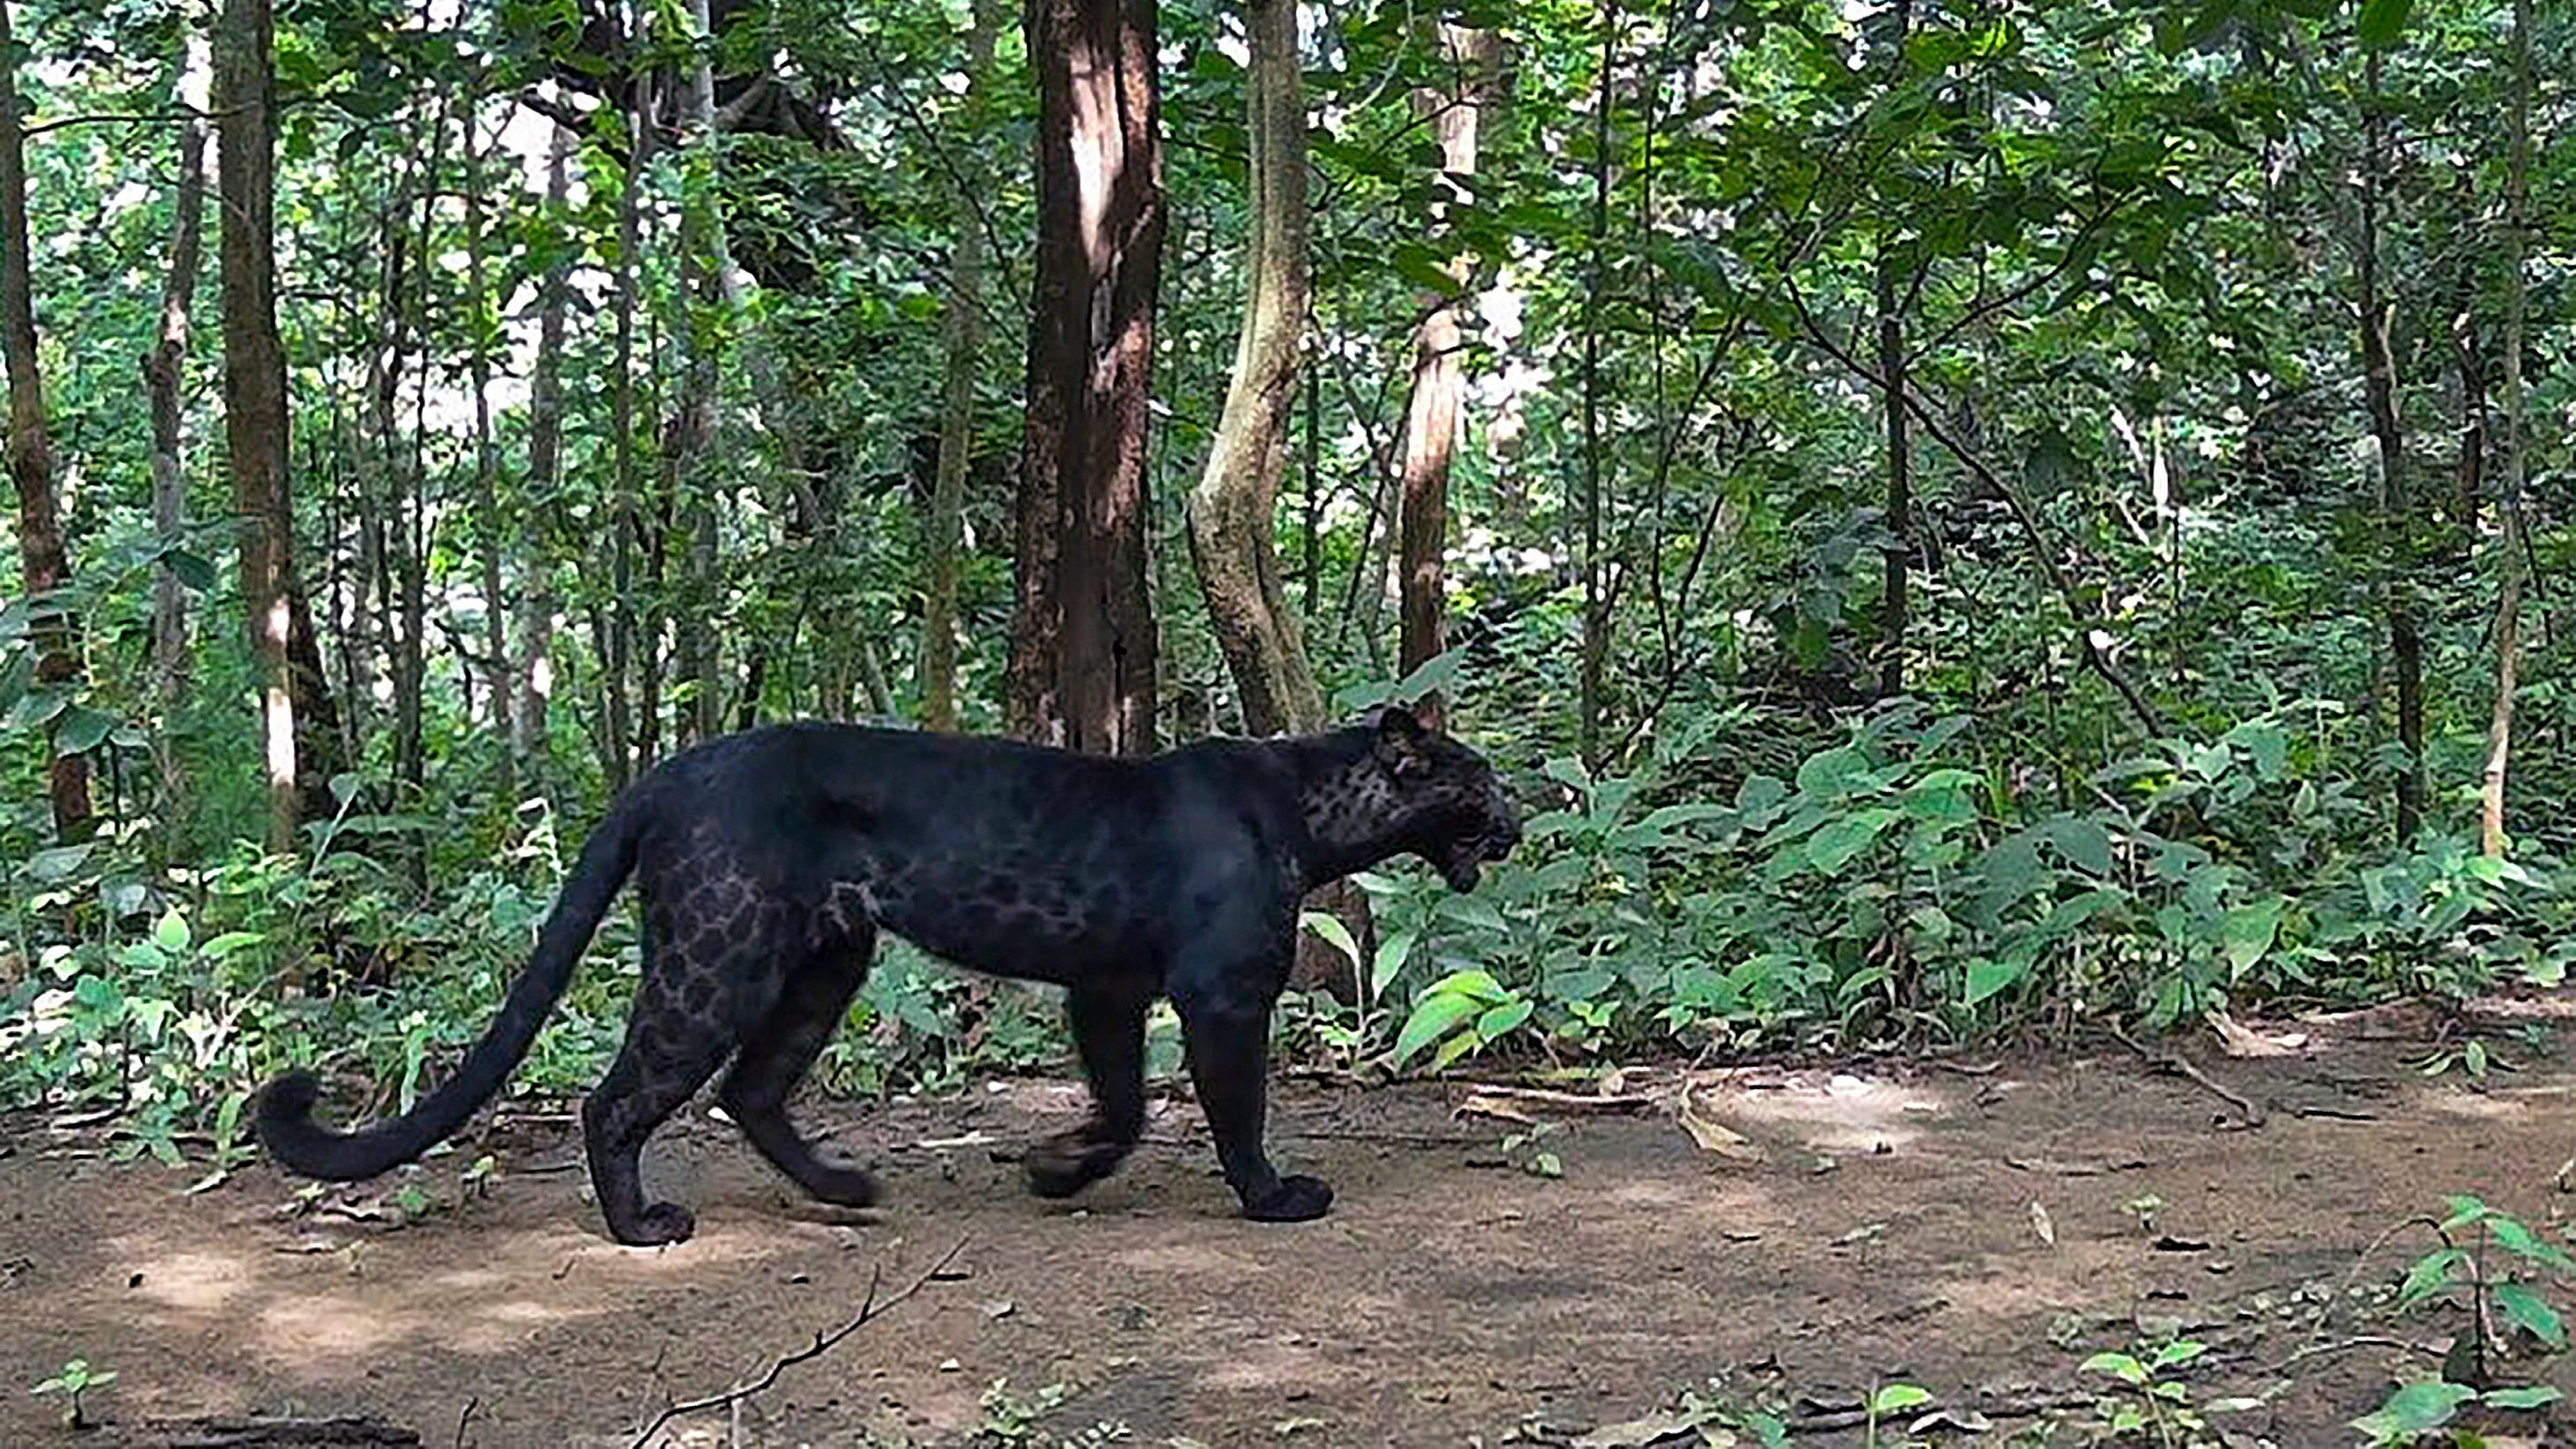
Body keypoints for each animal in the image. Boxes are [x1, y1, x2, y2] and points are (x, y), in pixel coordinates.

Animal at [254, 701, 1514, 1243]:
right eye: (1482, 780)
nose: (1516, 814)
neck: (1310, 805)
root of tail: (668, 772)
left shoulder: (1105, 984)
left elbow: (1120, 1103)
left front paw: (1055, 1168)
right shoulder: (1220, 992)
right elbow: (1228, 1107)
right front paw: (1272, 1196)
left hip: (825, 959)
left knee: (750, 1090)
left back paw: (844, 1190)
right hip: (722, 956)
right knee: (619, 1098)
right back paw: (642, 1224)